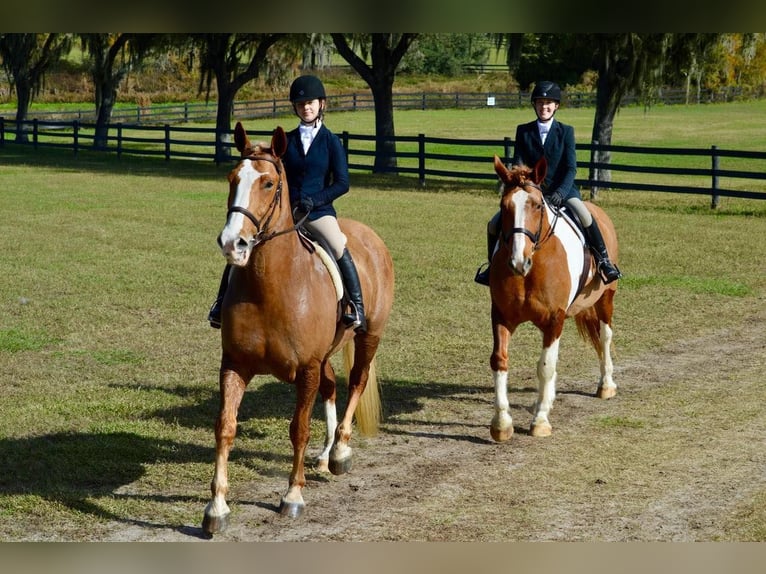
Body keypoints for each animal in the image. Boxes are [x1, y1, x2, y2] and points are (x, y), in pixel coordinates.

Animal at [202, 122, 396, 536]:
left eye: (269, 183)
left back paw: (340, 451)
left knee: (356, 381)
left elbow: (298, 428)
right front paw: (216, 508)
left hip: (369, 336)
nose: (232, 243)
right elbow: (225, 427)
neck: (270, 286)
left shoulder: (304, 369)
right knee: (332, 386)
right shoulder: (234, 365)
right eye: (232, 178)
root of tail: (368, 235)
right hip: (325, 355)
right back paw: (323, 456)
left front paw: (292, 496)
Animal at [488, 155, 620, 444]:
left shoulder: (554, 319)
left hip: (605, 297)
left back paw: (606, 385)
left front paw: (540, 422)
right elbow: (500, 360)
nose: (518, 261)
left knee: (605, 336)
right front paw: (502, 424)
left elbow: (546, 366)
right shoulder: (501, 316)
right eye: (504, 206)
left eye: (537, 205)